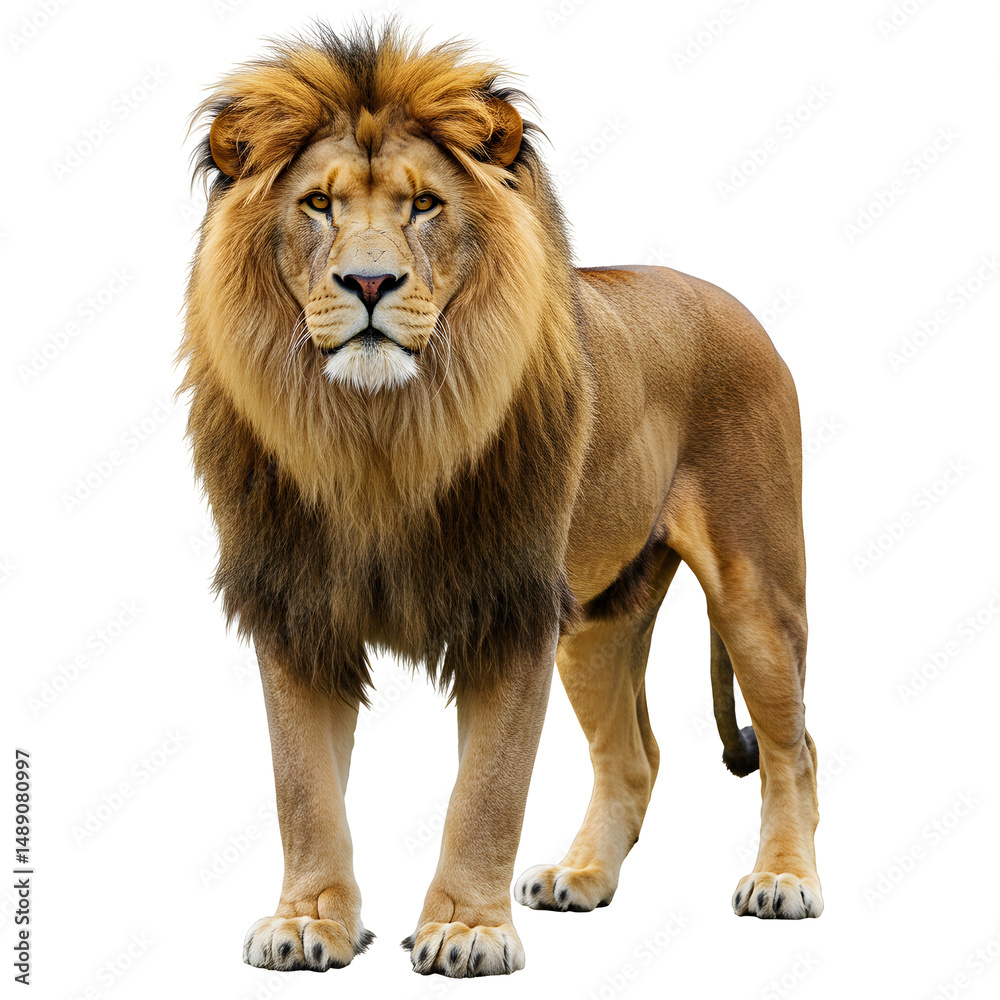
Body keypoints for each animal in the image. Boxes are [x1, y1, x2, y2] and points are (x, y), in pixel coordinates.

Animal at [178, 22, 823, 979]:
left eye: (424, 205)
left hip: (757, 588)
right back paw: (581, 877)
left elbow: (487, 790)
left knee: (793, 744)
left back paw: (783, 880)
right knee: (635, 757)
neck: (378, 434)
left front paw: (467, 930)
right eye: (319, 205)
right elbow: (302, 786)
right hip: (599, 622)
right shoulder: (297, 607)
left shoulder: (510, 606)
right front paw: (309, 922)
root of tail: (726, 299)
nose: (369, 284)